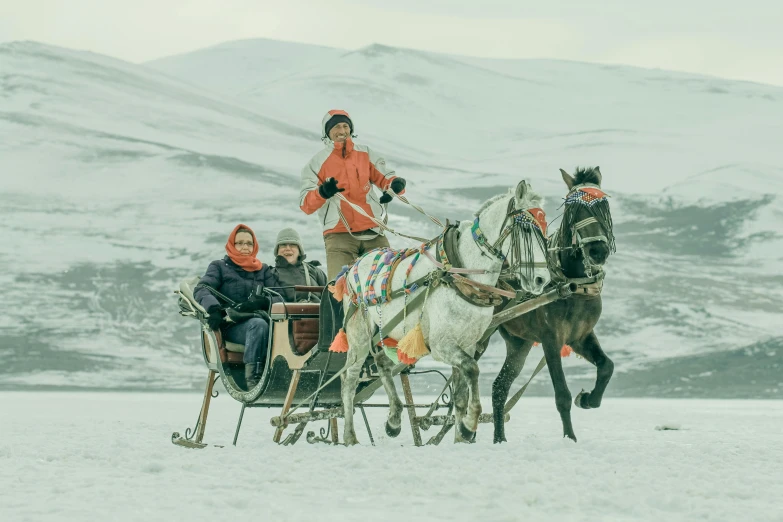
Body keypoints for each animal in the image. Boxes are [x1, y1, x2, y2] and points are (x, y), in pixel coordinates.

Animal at [338, 180, 552, 442]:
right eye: (526, 230)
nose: (542, 279)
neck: (461, 273)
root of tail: (353, 266)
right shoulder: (441, 344)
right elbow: (472, 369)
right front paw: (470, 424)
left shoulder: (467, 343)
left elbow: (460, 395)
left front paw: (461, 434)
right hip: (358, 335)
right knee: (349, 380)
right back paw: (350, 436)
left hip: (387, 334)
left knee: (382, 364)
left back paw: (394, 419)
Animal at [490, 166, 620, 438]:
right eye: (574, 208)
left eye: (603, 205)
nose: (597, 251)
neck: (573, 283)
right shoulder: (551, 339)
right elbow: (562, 395)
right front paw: (570, 439)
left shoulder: (580, 336)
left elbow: (607, 366)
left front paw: (587, 399)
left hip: (518, 342)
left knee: (499, 387)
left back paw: (498, 439)